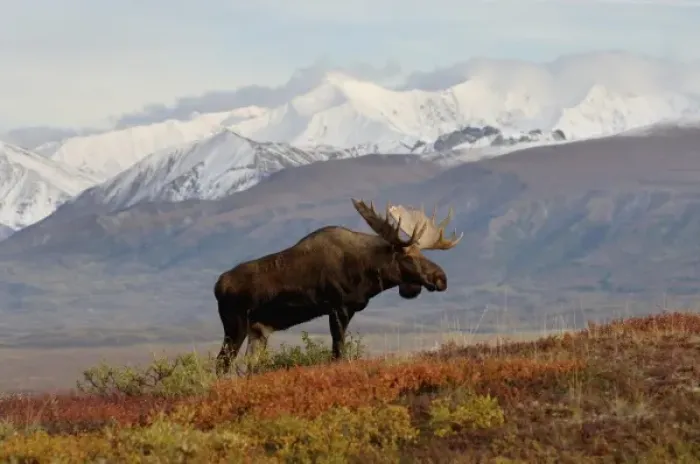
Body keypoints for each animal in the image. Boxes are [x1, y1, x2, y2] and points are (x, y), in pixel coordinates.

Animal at [213, 198, 462, 375]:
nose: (441, 278)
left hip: (258, 331)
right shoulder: (338, 307)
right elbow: (338, 351)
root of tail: (217, 286)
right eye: (407, 257)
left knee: (248, 366)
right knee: (221, 364)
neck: (368, 272)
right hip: (235, 325)